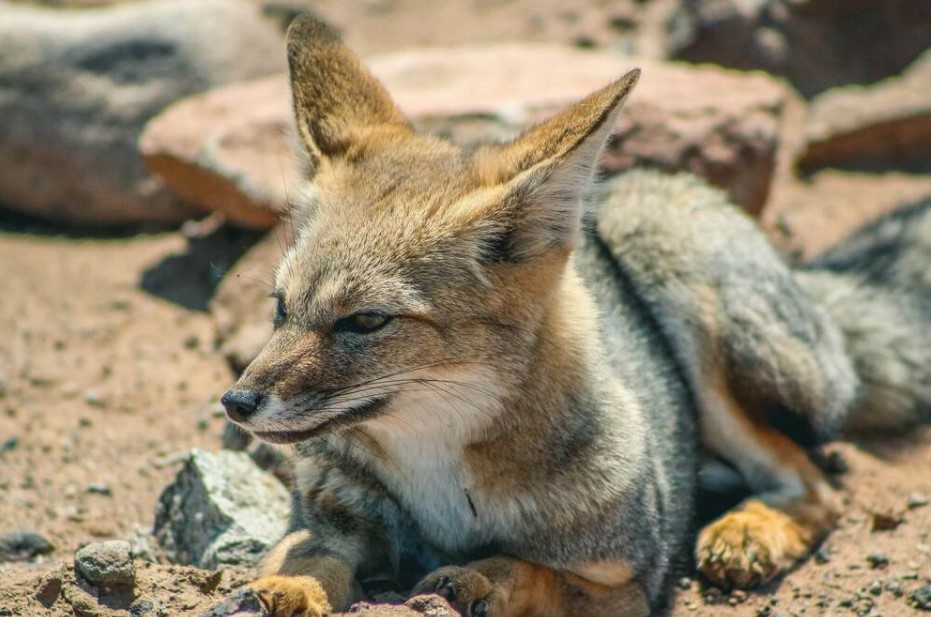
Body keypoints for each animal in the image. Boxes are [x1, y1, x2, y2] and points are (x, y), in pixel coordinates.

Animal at [216, 14, 931, 617]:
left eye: (365, 322)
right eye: (280, 308)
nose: (236, 402)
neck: (442, 476)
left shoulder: (625, 586)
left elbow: (526, 568)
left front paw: (475, 577)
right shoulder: (327, 522)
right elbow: (308, 554)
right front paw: (281, 589)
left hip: (681, 278)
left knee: (814, 483)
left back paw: (748, 528)